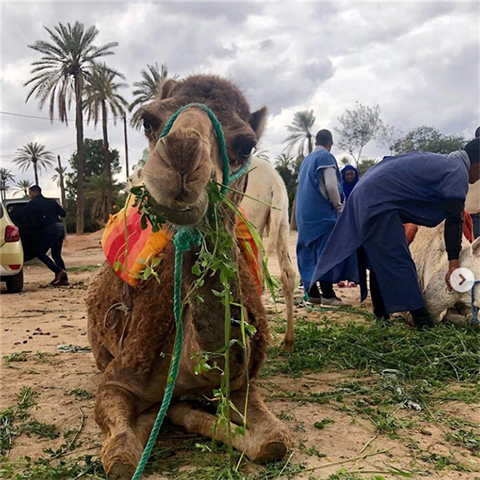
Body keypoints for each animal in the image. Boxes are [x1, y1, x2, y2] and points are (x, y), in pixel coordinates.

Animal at [86, 75, 290, 480]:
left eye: (246, 144)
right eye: (147, 120)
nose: (181, 151)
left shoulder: (240, 384)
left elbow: (275, 441)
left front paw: (183, 410)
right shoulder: (116, 378)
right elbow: (122, 458)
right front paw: (159, 415)